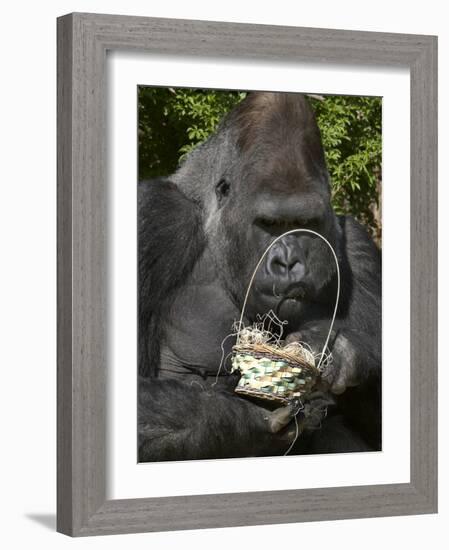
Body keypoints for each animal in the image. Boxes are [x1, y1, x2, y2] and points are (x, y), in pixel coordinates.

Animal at [138, 92, 380, 464]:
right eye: (270, 224)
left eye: (305, 223)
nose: (288, 262)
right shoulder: (154, 217)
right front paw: (257, 417)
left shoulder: (359, 249)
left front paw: (346, 353)